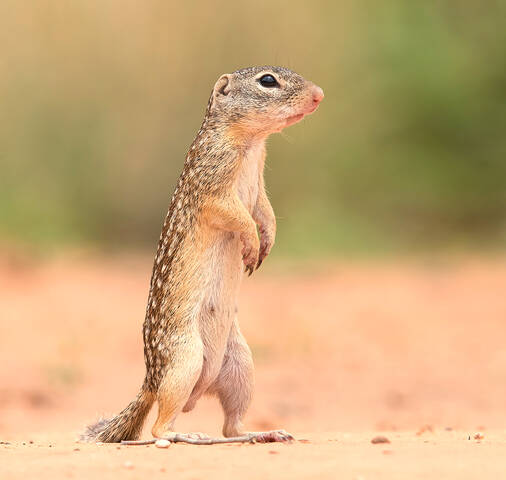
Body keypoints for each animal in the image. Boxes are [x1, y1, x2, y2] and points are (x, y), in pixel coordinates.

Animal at [81, 65, 322, 444]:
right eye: (268, 81)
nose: (319, 95)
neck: (251, 143)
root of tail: (151, 381)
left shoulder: (259, 184)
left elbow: (264, 209)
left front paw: (266, 240)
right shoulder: (212, 183)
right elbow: (234, 213)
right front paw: (251, 242)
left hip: (242, 366)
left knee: (231, 426)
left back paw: (263, 433)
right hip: (185, 360)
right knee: (161, 425)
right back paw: (189, 435)